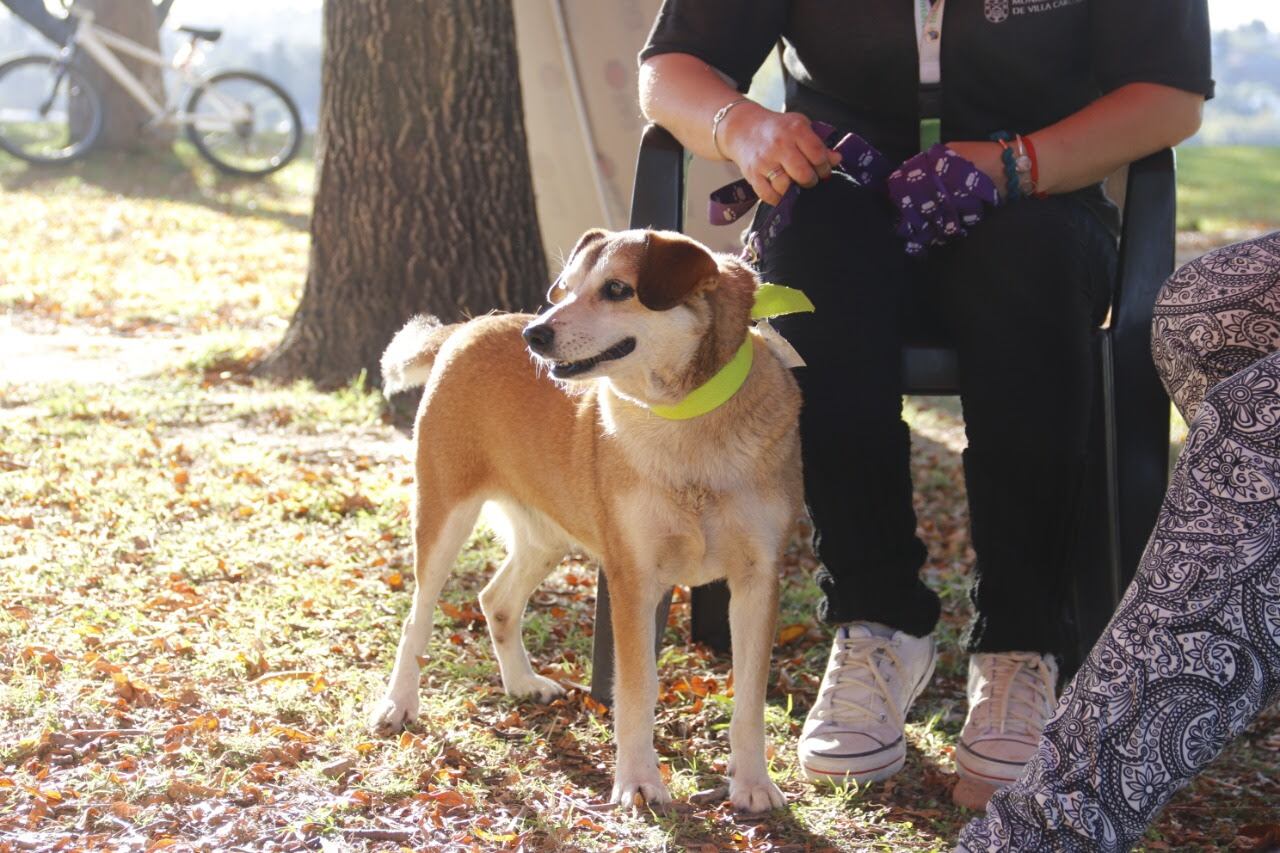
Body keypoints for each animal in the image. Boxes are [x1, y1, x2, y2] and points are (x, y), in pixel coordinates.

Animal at [371, 227, 803, 809]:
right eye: (566, 288)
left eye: (617, 289)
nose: (535, 333)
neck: (687, 424)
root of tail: (468, 327)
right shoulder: (634, 579)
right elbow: (638, 689)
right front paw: (639, 780)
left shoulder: (758, 579)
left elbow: (750, 698)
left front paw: (753, 781)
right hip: (443, 516)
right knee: (418, 615)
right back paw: (399, 703)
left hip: (547, 536)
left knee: (496, 600)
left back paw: (522, 682)